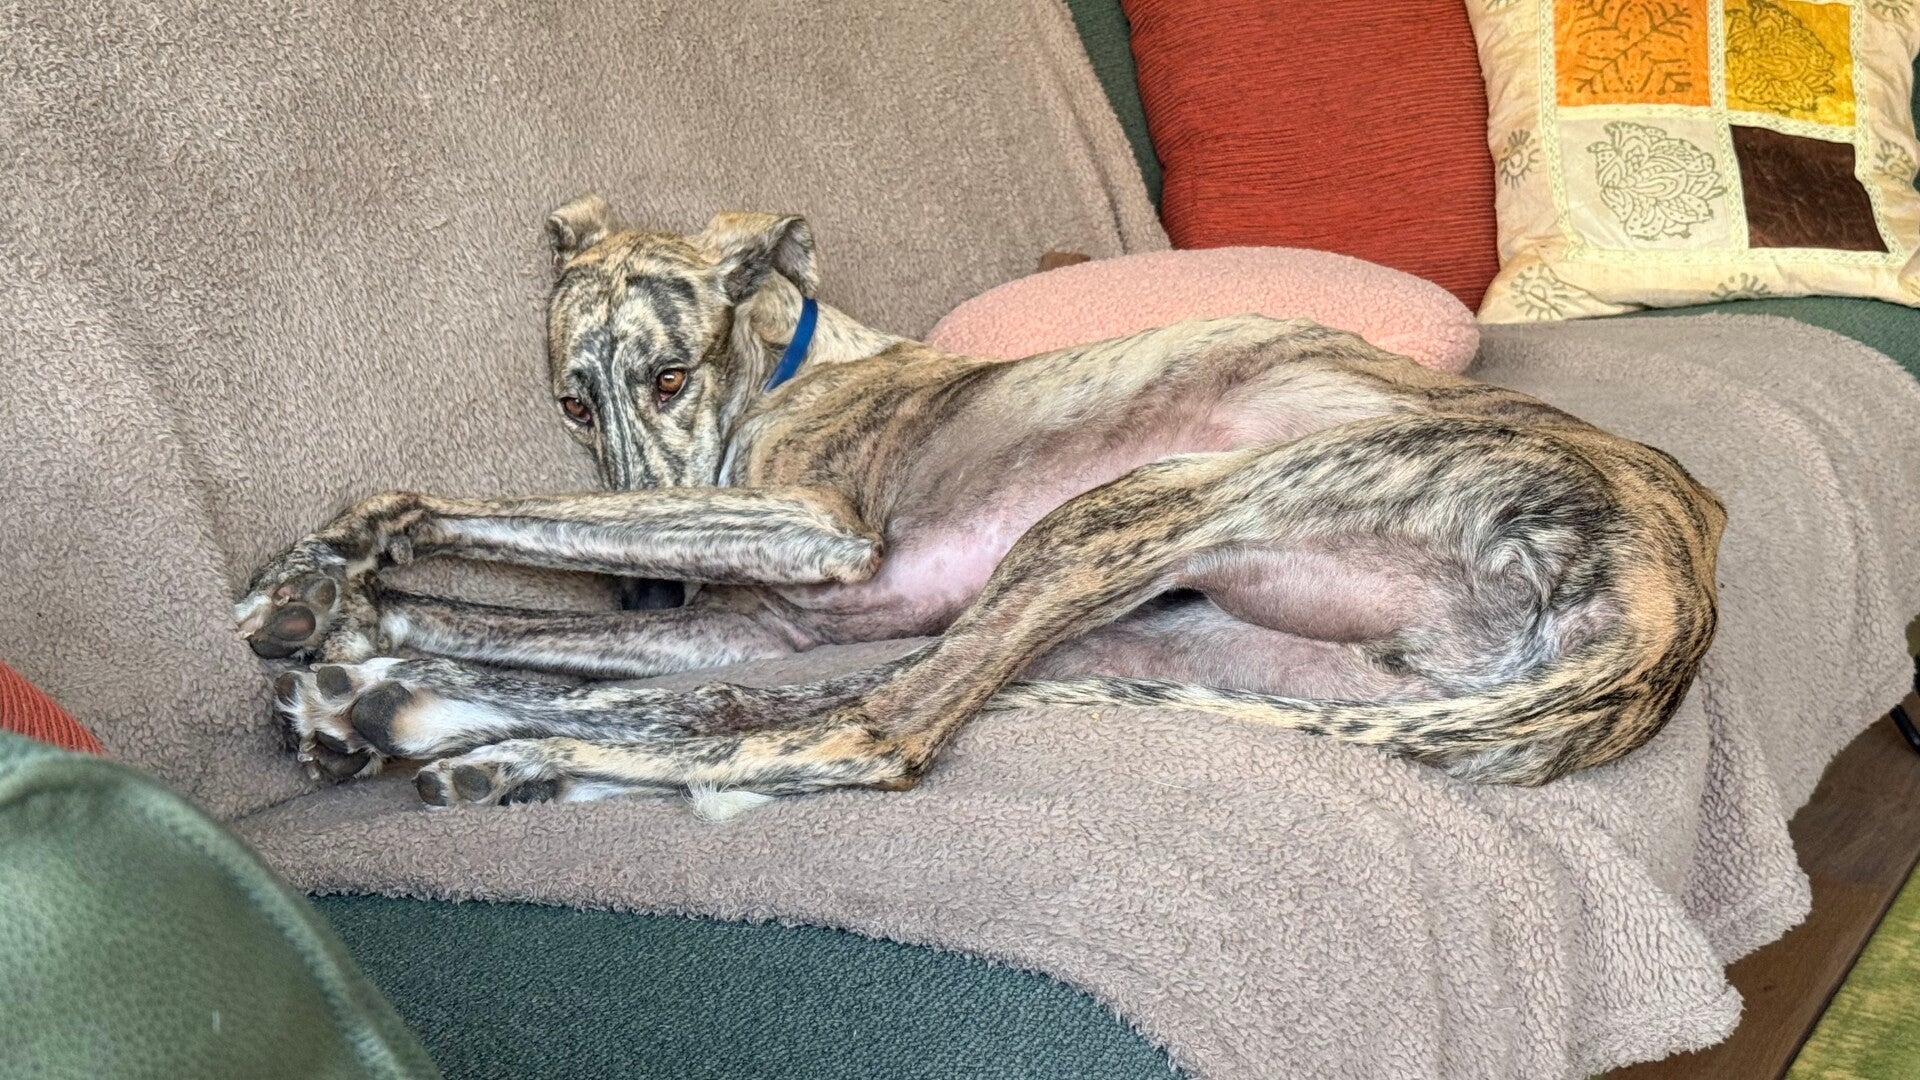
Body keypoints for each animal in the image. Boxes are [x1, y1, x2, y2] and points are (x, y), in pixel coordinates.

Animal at [234, 194, 1726, 810]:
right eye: (568, 399)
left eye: (668, 373)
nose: (642, 594)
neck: (795, 360)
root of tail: (1673, 615)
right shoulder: (738, 622)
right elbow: (538, 620)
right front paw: (337, 620)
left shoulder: (815, 534)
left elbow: (479, 512)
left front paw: (341, 551)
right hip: (1162, 634)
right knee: (753, 712)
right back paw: (412, 722)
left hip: (1124, 518)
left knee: (860, 734)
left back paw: (447, 732)